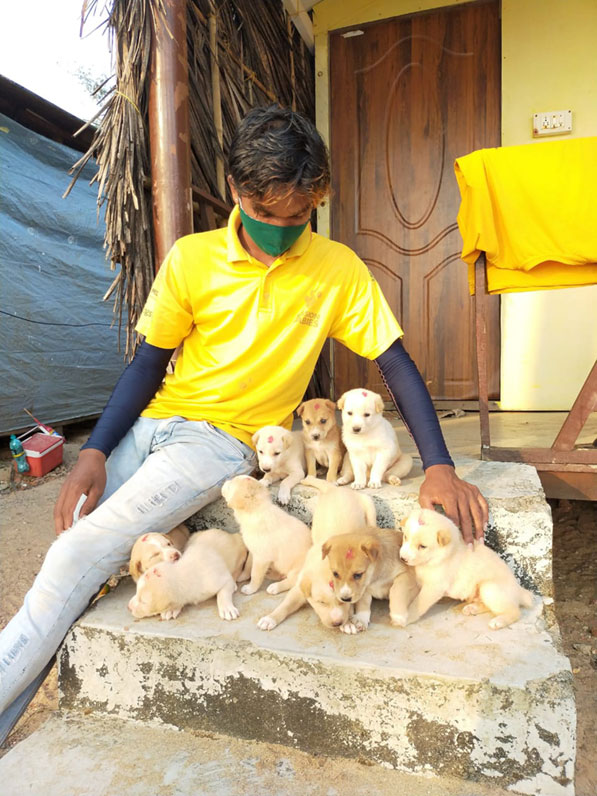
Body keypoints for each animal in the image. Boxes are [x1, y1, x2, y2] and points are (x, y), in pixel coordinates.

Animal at [398, 506, 532, 632]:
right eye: (405, 537)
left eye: (422, 546)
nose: (403, 558)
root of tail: (520, 590)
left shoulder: (433, 587)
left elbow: (418, 604)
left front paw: (405, 617)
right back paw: (472, 608)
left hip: (490, 588)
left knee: (514, 611)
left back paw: (498, 621)